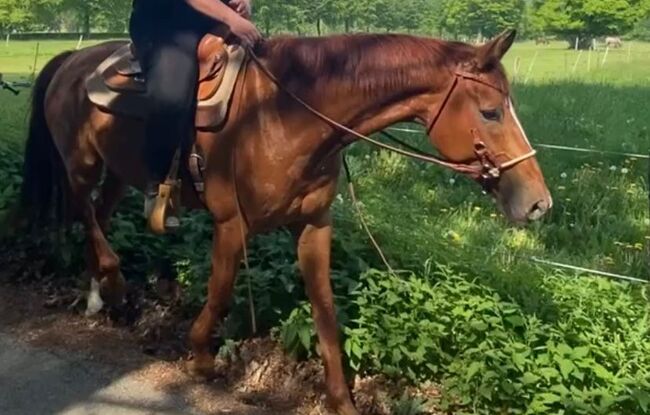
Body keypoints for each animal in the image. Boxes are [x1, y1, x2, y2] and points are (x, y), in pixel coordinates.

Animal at [20, 30, 548, 414]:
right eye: (490, 111)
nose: (539, 204)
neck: (286, 114)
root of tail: (73, 59)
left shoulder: (314, 226)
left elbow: (325, 310)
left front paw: (340, 398)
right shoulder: (231, 224)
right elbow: (221, 289)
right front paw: (202, 358)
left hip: (118, 172)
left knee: (101, 214)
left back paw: (99, 295)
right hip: (81, 162)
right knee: (84, 210)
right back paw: (112, 281)